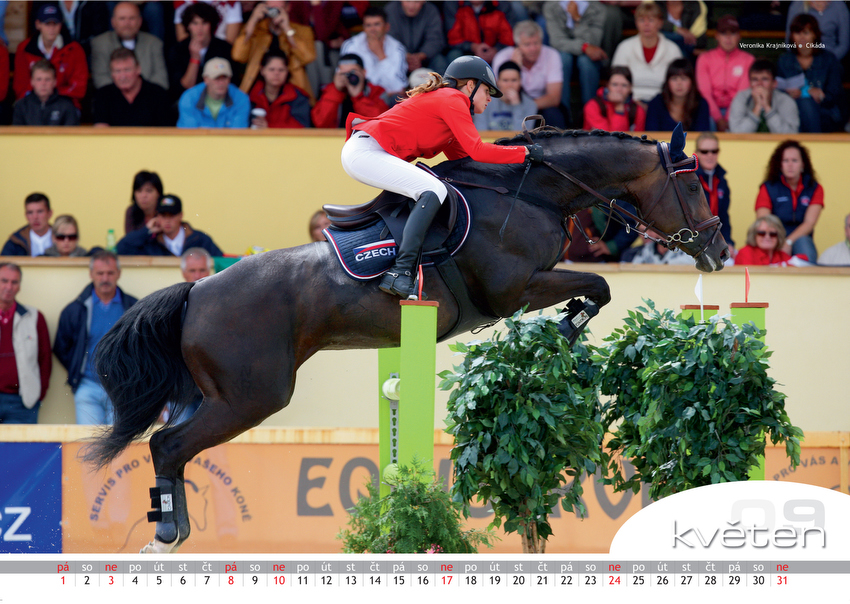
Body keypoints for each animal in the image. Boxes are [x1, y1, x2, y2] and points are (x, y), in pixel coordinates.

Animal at [84, 125, 729, 553]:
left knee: (170, 443)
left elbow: (597, 289)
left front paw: (564, 332)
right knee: (168, 445)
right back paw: (168, 533)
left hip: (217, 393)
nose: (721, 252)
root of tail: (197, 290)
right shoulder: (515, 287)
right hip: (252, 396)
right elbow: (599, 285)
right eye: (697, 188)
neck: (533, 191)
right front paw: (567, 328)